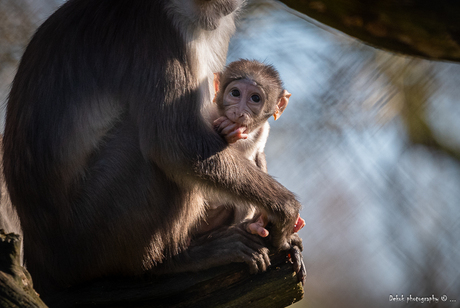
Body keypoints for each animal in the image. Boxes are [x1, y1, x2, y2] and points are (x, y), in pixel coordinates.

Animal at [196, 59, 304, 238]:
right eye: (235, 93)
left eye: (255, 98)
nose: (238, 112)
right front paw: (227, 131)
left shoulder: (264, 130)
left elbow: (259, 155)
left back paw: (254, 226)